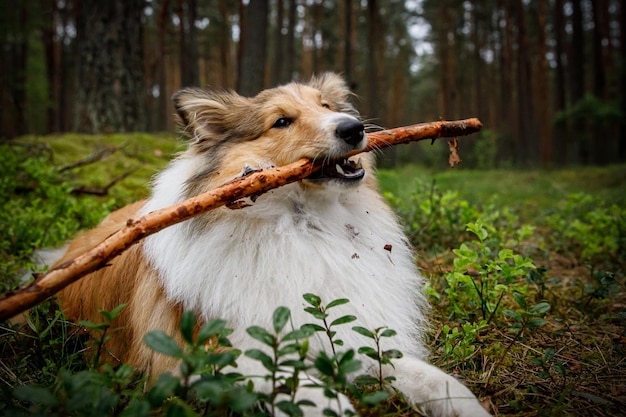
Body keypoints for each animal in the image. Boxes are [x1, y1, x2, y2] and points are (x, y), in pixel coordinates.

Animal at [50, 73, 488, 414]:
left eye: (326, 105)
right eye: (281, 121)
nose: (353, 128)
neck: (305, 226)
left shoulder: (359, 337)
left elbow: (432, 379)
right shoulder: (207, 354)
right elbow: (289, 382)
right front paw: (329, 404)